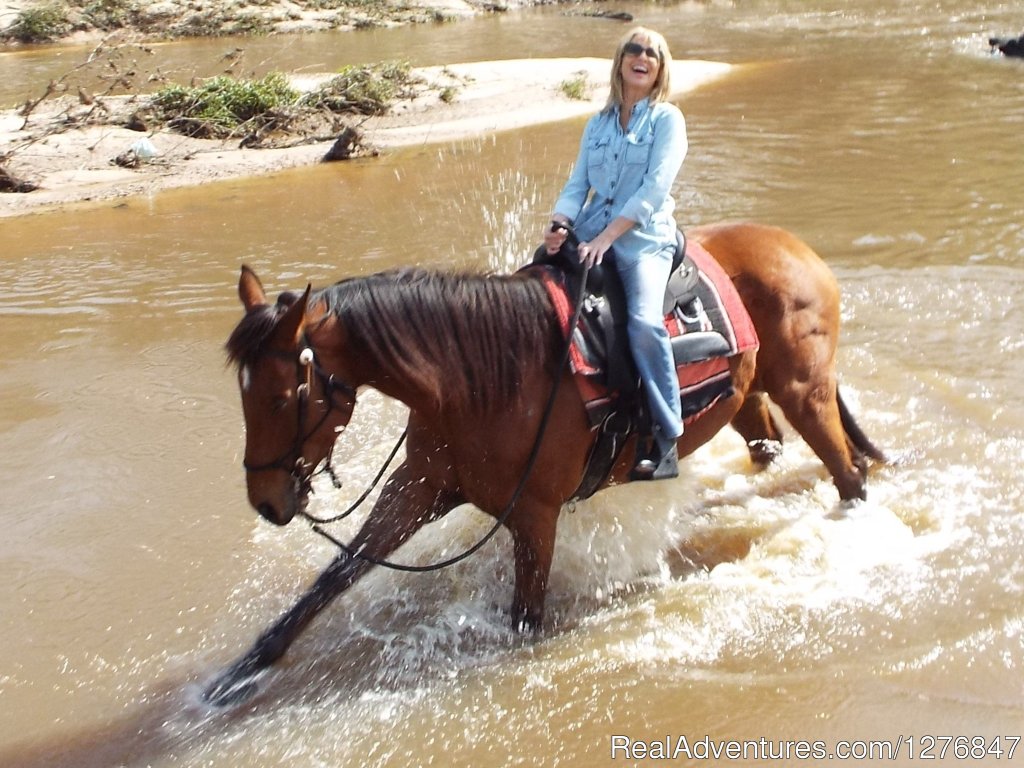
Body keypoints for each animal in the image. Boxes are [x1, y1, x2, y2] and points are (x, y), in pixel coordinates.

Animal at [205, 219, 880, 708]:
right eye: (242, 394)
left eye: (282, 397)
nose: (267, 500)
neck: (476, 379)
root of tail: (792, 245)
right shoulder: (417, 488)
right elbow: (333, 579)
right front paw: (239, 674)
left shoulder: (535, 514)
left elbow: (526, 618)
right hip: (748, 399)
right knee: (772, 447)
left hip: (805, 391)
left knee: (850, 475)